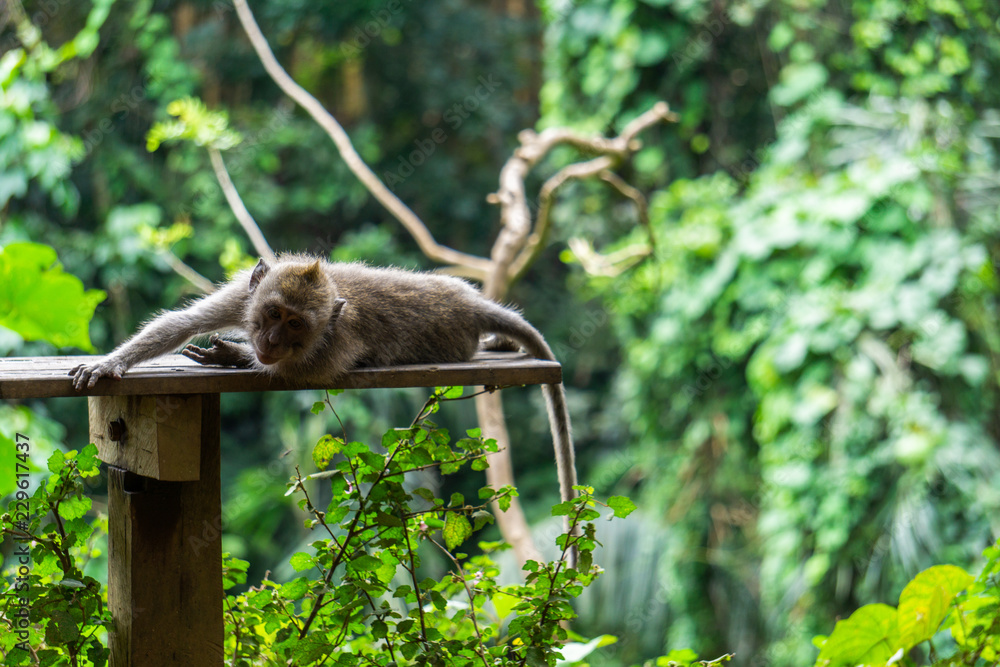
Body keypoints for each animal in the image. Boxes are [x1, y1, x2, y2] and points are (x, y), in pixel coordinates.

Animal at [70, 255, 577, 509]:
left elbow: (298, 374)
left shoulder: (336, 340)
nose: (271, 340)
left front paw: (235, 357)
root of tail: (470, 302)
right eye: (274, 313)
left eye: (296, 325)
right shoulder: (243, 295)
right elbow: (180, 324)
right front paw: (111, 363)